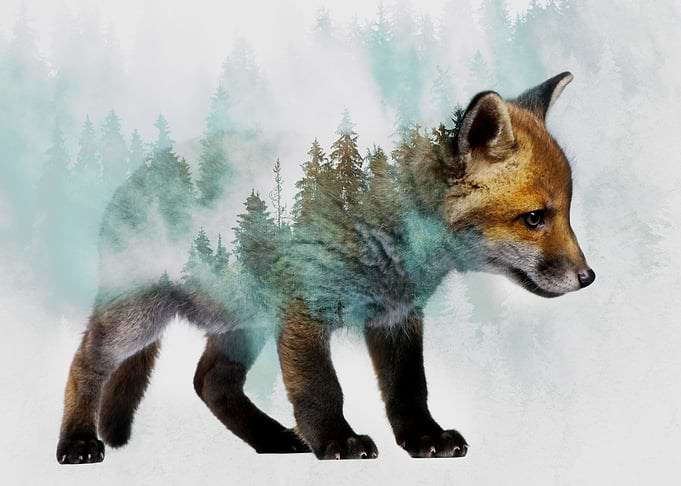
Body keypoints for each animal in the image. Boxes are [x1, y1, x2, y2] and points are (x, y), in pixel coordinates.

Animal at [56, 72, 594, 464]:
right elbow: (321, 390)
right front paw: (337, 441)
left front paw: (424, 438)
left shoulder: (396, 318)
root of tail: (135, 177)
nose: (588, 278)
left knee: (210, 381)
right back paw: (76, 441)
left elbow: (409, 389)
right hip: (138, 317)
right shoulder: (303, 313)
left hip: (245, 323)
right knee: (85, 362)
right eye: (534, 218)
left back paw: (272, 439)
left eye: (567, 212)